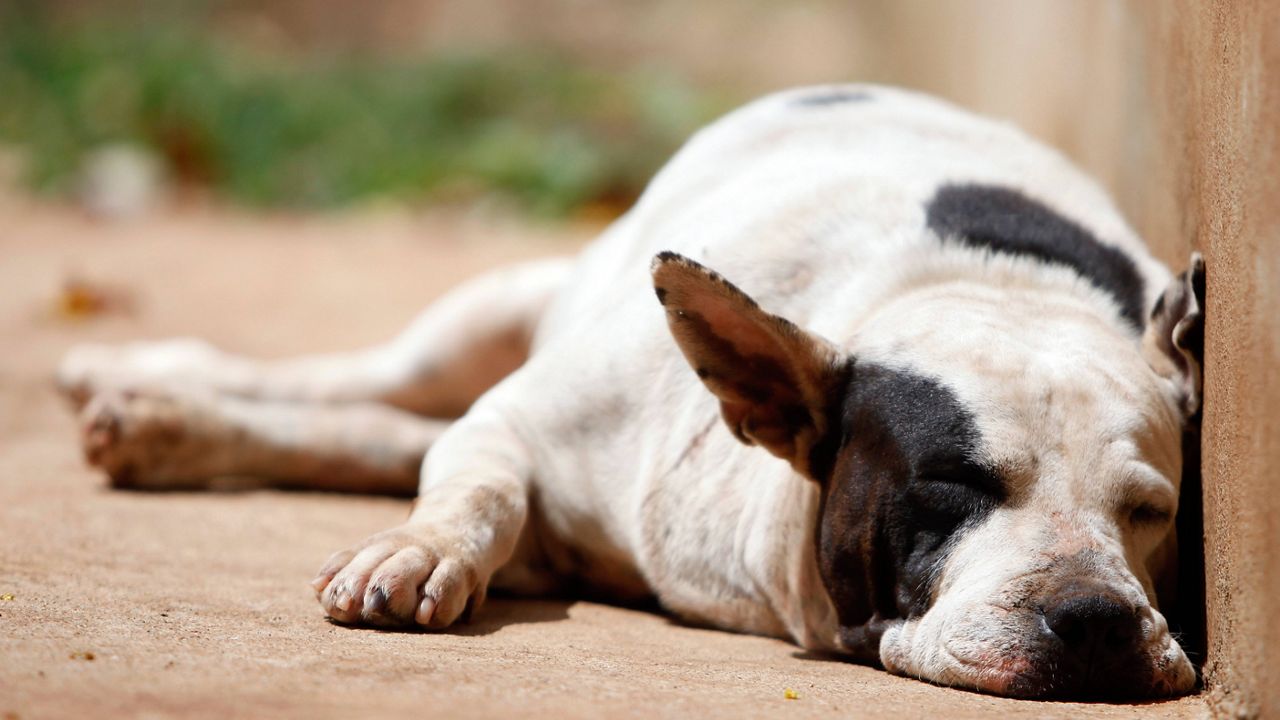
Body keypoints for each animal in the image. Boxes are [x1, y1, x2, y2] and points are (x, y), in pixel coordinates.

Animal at [60, 83, 1198, 696]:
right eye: (951, 488)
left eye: (1151, 514)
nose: (1096, 619)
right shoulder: (520, 419)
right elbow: (477, 486)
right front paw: (420, 552)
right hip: (481, 315)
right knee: (355, 380)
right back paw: (144, 379)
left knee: (378, 434)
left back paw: (160, 430)